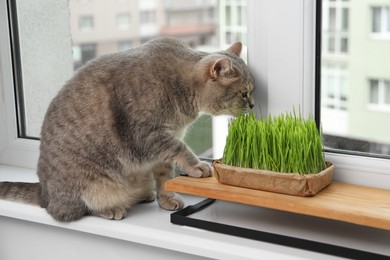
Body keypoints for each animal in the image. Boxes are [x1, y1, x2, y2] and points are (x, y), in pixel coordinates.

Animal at [0, 37, 256, 221]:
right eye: (244, 93)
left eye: (251, 92)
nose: (253, 105)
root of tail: (44, 193)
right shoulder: (149, 135)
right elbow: (182, 151)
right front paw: (198, 166)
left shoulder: (164, 144)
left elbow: (165, 177)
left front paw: (166, 198)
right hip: (90, 186)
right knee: (72, 211)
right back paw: (111, 209)